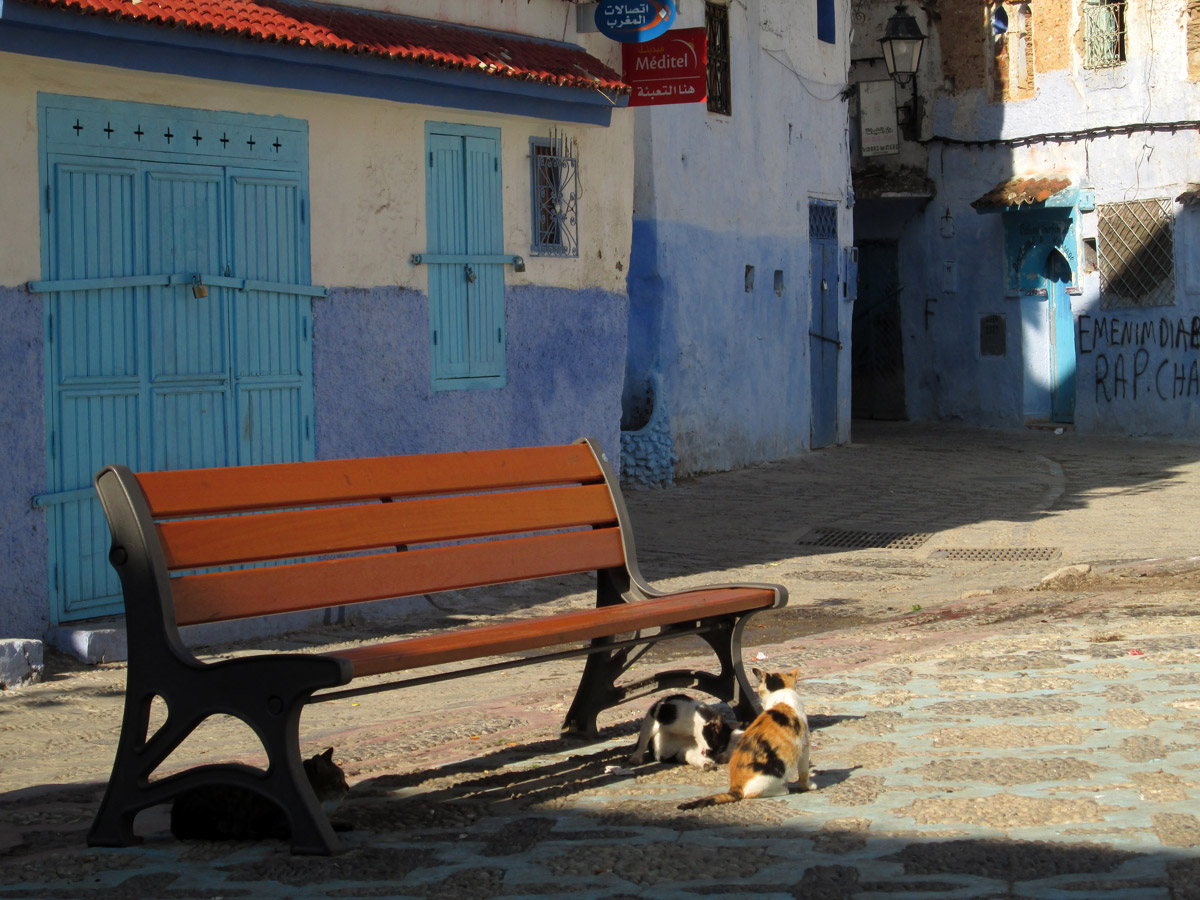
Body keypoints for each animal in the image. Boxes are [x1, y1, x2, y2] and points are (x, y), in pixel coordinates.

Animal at [681, 672, 811, 811]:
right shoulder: (804, 745)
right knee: (752, 793)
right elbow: (804, 772)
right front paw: (808, 786)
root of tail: (734, 787)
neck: (782, 695)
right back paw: (783, 789)